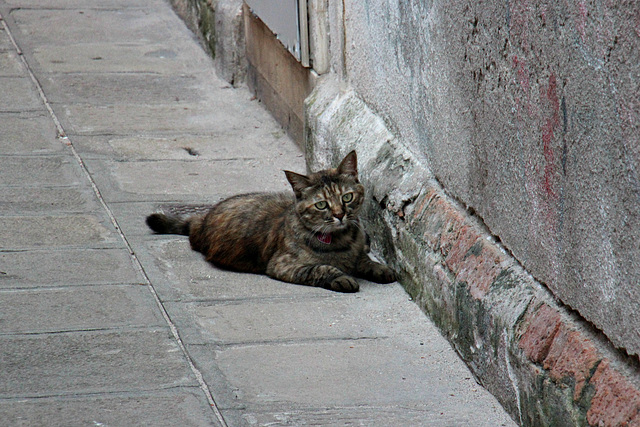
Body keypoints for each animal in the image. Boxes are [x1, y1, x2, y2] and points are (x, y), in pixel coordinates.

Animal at [146, 149, 396, 292]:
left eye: (347, 197)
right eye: (322, 205)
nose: (339, 214)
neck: (343, 240)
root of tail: (202, 218)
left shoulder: (358, 252)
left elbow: (365, 261)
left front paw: (380, 268)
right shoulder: (282, 265)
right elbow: (320, 267)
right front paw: (342, 277)